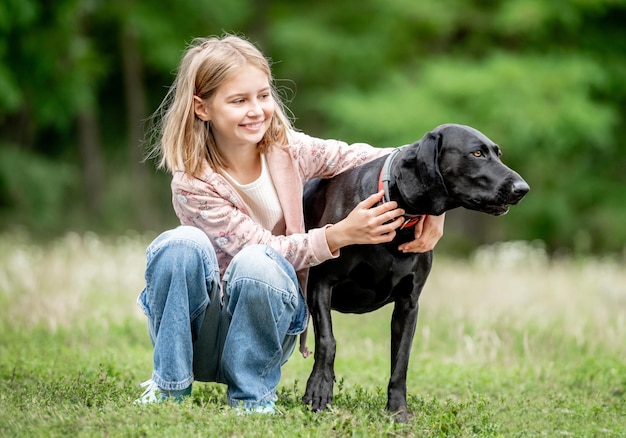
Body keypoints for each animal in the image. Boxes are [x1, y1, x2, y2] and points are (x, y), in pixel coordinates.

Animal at [302, 122, 528, 420]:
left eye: (497, 154)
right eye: (477, 153)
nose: (523, 188)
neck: (397, 215)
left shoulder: (408, 304)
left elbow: (401, 360)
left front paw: (398, 410)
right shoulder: (322, 285)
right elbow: (328, 342)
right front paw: (319, 391)